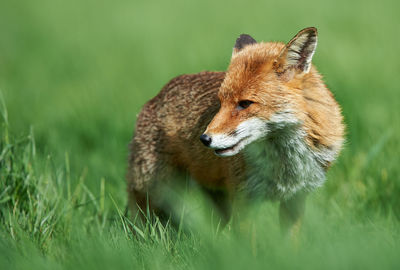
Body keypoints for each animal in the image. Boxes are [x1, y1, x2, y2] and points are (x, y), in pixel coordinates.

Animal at [127, 27, 344, 233]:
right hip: (155, 192)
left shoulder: (296, 199)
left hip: (217, 203)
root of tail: (157, 95)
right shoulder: (245, 200)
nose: (204, 139)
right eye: (220, 103)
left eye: (245, 104)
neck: (283, 162)